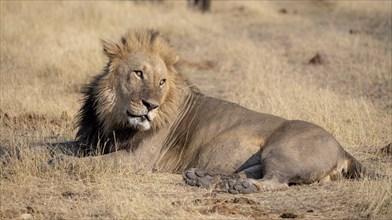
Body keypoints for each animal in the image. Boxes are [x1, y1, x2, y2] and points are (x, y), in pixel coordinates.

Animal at [60, 29, 376, 194]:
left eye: (162, 82)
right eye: (138, 73)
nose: (151, 106)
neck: (113, 117)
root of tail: (343, 148)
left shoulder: (138, 159)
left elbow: (93, 163)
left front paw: (62, 164)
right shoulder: (93, 139)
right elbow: (63, 146)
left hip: (283, 149)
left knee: (276, 182)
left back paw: (240, 188)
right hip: (260, 158)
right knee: (248, 173)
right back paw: (205, 179)